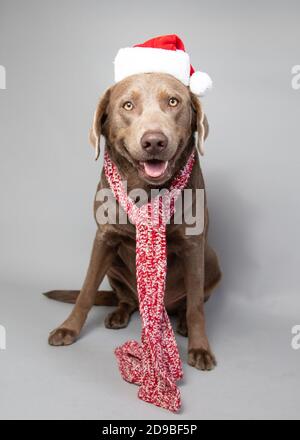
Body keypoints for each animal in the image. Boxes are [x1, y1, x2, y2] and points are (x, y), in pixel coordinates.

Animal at [45, 72, 221, 372]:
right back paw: (119, 312)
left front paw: (200, 347)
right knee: (125, 299)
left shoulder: (193, 245)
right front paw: (68, 328)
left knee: (190, 303)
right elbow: (86, 291)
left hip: (211, 261)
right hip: (114, 267)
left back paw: (183, 324)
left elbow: (196, 305)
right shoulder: (104, 238)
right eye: (127, 105)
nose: (154, 141)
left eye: (173, 101)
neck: (146, 192)